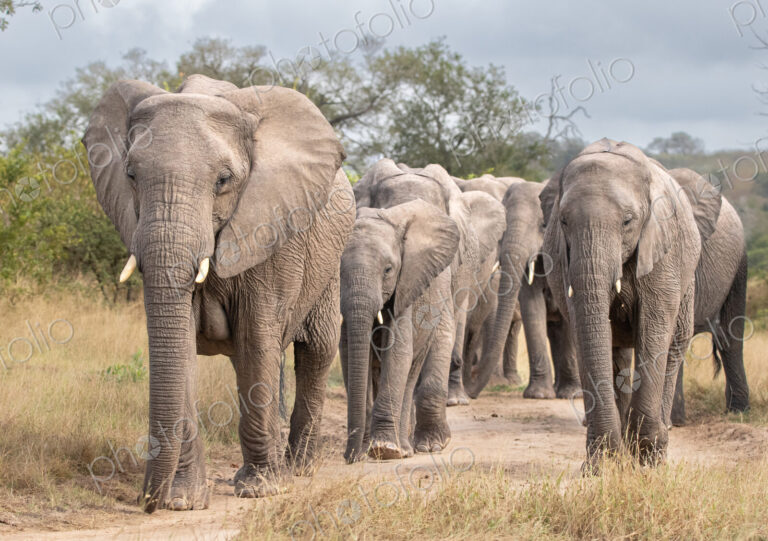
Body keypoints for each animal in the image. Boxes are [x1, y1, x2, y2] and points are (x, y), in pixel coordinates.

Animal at [82, 74, 355, 511]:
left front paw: (261, 490)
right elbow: (180, 350)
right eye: (131, 176)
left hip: (330, 261)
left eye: (223, 181)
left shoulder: (271, 228)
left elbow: (257, 341)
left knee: (315, 349)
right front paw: (182, 501)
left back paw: (299, 470)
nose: (145, 500)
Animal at [339, 200, 460, 462]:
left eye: (388, 270)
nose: (349, 457)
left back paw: (409, 449)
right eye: (338, 271)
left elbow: (398, 352)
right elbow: (349, 353)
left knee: (415, 368)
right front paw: (364, 451)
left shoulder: (407, 285)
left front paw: (384, 450)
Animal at [458, 177, 581, 400]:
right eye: (503, 231)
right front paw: (539, 395)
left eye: (543, 226)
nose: (472, 373)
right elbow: (532, 308)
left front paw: (571, 394)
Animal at [540, 138, 710, 466]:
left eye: (627, 221)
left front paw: (646, 460)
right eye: (563, 221)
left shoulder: (662, 252)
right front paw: (602, 465)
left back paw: (654, 448)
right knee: (615, 352)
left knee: (674, 346)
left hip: (688, 276)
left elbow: (653, 329)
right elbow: (587, 332)